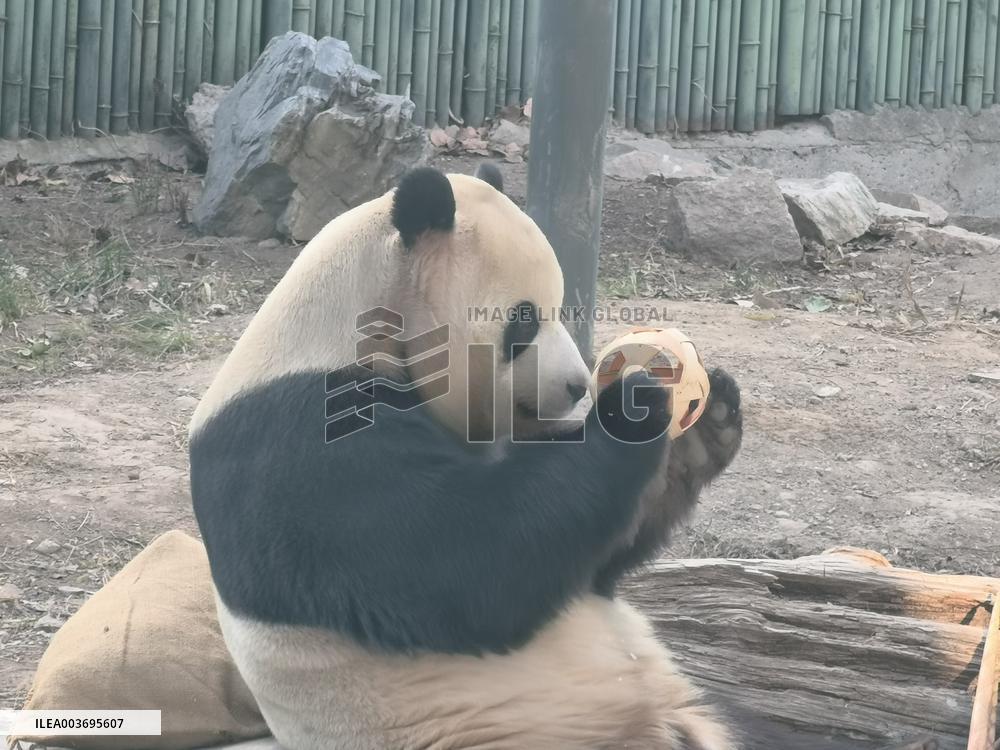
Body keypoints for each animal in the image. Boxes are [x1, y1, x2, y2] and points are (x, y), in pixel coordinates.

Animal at [189, 164, 743, 750]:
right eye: (524, 321)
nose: (576, 385)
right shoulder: (306, 449)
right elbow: (472, 560)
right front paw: (633, 406)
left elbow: (591, 558)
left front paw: (706, 424)